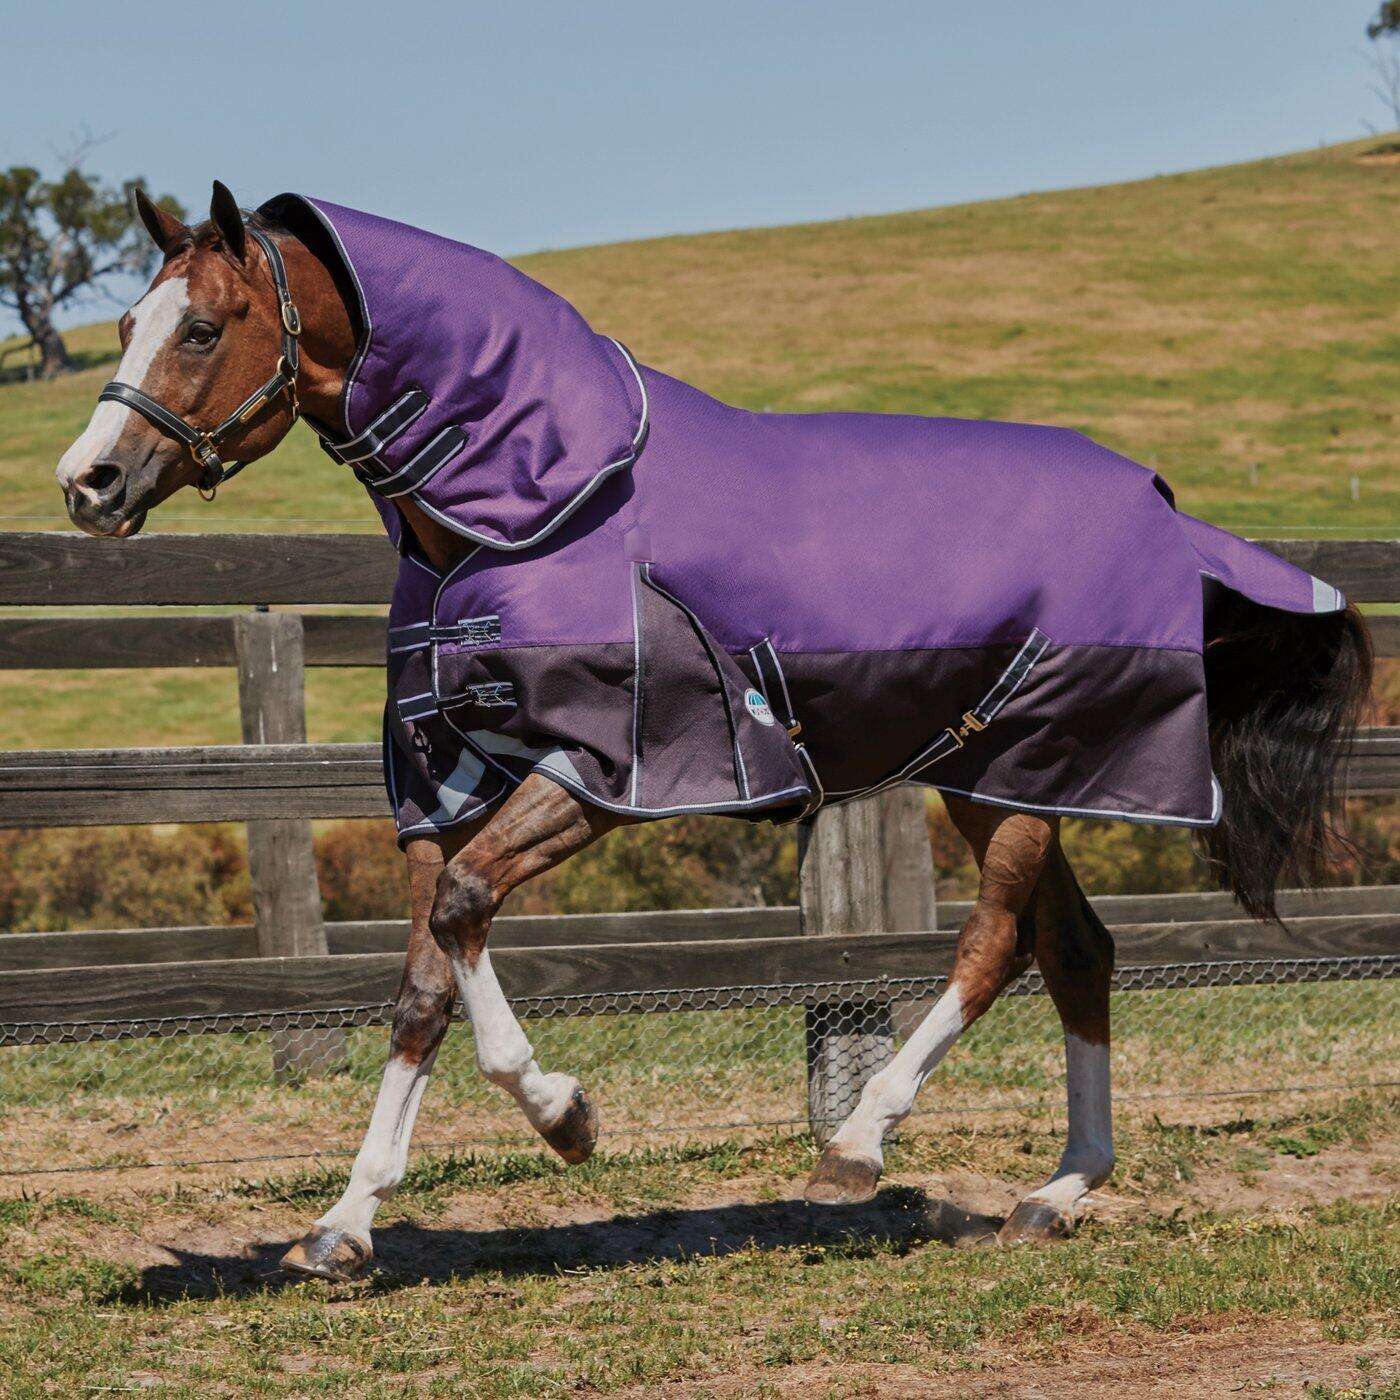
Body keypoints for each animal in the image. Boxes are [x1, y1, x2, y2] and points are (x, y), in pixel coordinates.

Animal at [55, 182, 1371, 1282]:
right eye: (125, 320)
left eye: (203, 327)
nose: (88, 483)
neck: (539, 505)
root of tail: (1164, 508)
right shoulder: (442, 784)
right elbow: (422, 981)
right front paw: (342, 1225)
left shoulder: (601, 770)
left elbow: (467, 914)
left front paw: (566, 1115)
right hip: (998, 776)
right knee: (1077, 951)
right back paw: (1052, 1194)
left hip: (1026, 775)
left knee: (994, 945)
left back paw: (856, 1146)